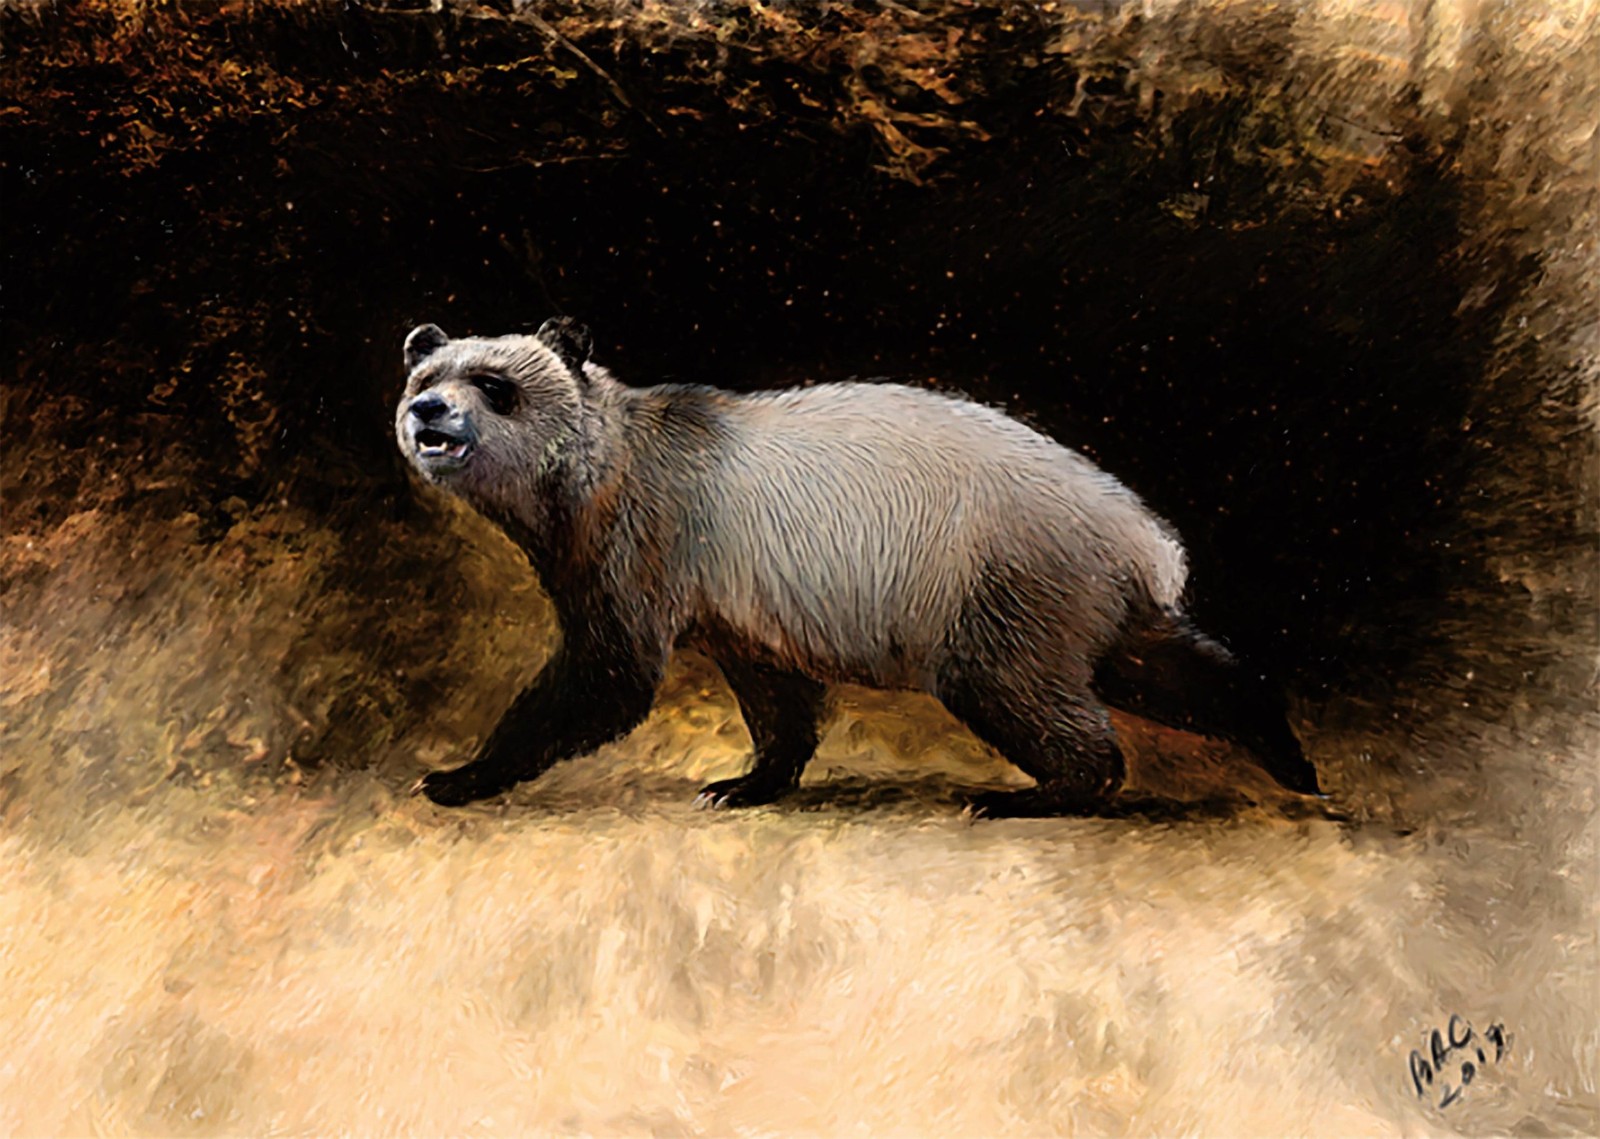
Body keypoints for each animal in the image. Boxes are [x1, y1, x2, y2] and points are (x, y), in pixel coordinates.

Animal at [394, 318, 1323, 816]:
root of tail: (1147, 540)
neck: (594, 465)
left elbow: (606, 673)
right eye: (424, 373)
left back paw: (1039, 790)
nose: (428, 413)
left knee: (1019, 688)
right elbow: (774, 693)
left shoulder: (649, 530)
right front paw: (746, 781)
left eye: (495, 384)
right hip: (1084, 595)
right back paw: (1289, 754)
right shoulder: (740, 594)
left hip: (1004, 575)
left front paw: (459, 774)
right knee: (1159, 664)